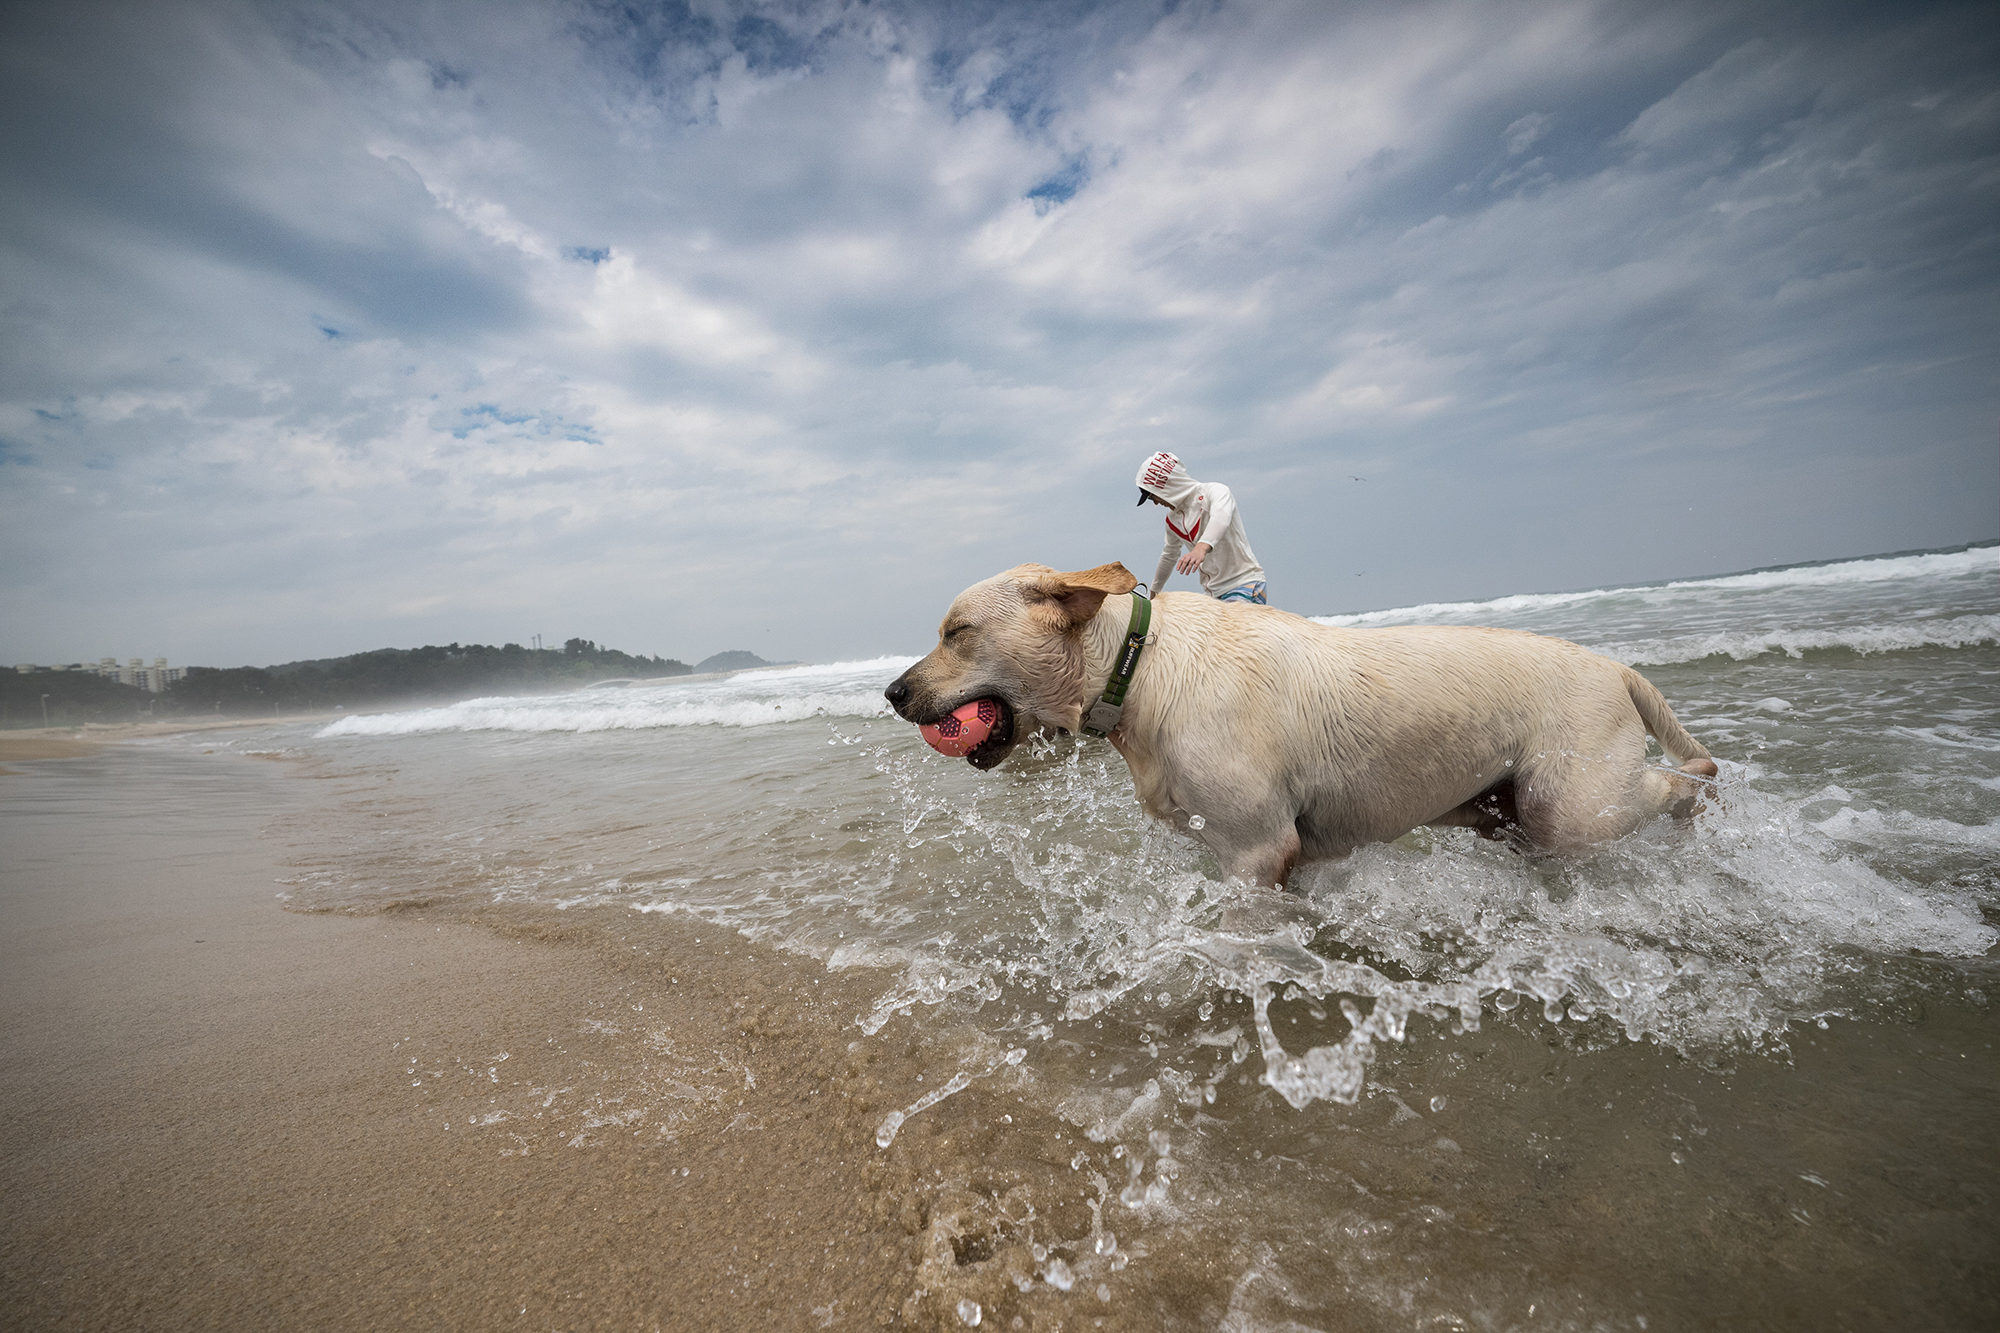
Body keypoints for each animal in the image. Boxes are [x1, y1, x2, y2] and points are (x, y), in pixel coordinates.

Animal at [888, 556, 1720, 880]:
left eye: (955, 632)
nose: (893, 692)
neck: (1139, 667)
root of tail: (1617, 667)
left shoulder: (1259, 846)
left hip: (1571, 804)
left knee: (1684, 781)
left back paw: (1697, 816)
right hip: (1507, 811)